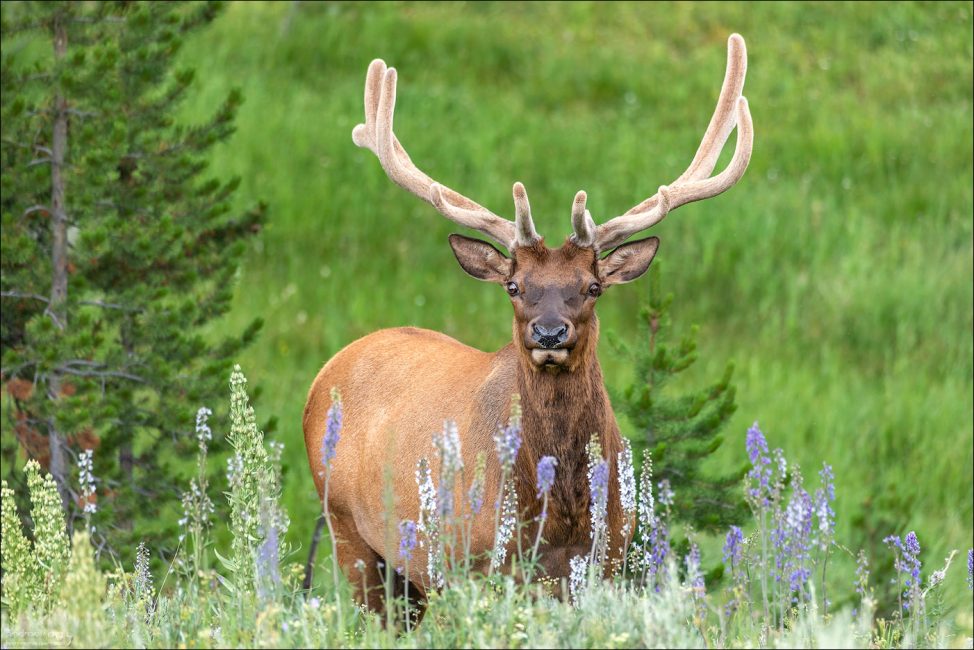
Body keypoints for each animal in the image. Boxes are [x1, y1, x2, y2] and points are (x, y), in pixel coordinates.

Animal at [303, 33, 752, 616]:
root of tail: (323, 374)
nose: (550, 334)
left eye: (593, 287)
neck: (560, 516)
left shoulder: (606, 562)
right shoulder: (473, 567)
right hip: (350, 532)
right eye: (514, 286)